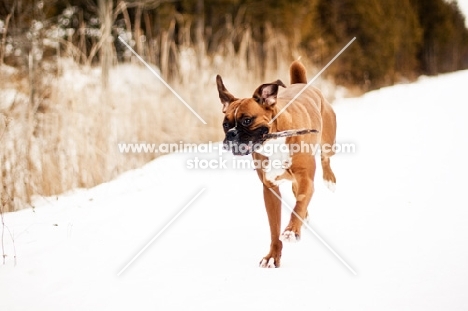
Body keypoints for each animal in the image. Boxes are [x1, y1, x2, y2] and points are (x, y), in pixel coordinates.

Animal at [216, 60, 336, 268]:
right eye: (225, 124)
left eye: (247, 120)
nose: (231, 134)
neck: (273, 142)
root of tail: (302, 84)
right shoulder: (270, 190)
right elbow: (274, 228)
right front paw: (273, 256)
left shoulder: (305, 180)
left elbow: (298, 207)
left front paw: (291, 230)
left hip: (327, 141)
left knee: (325, 158)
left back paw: (329, 179)